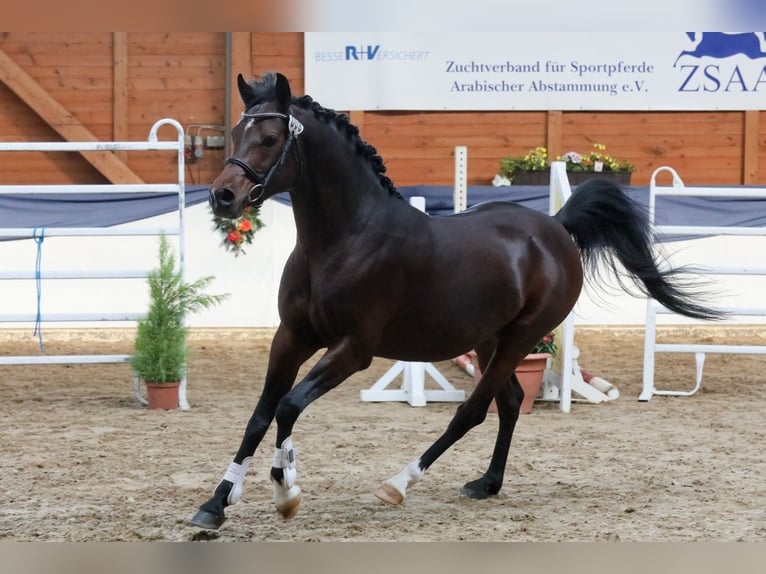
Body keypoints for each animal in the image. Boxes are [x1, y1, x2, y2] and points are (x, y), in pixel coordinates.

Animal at [190, 72, 721, 530]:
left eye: (269, 139)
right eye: (236, 133)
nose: (222, 197)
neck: (345, 239)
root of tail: (555, 227)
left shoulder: (353, 350)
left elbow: (289, 406)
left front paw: (287, 492)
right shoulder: (292, 337)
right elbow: (261, 415)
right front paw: (216, 504)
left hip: (521, 338)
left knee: (474, 410)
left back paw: (399, 483)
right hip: (488, 340)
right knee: (509, 402)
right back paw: (487, 483)